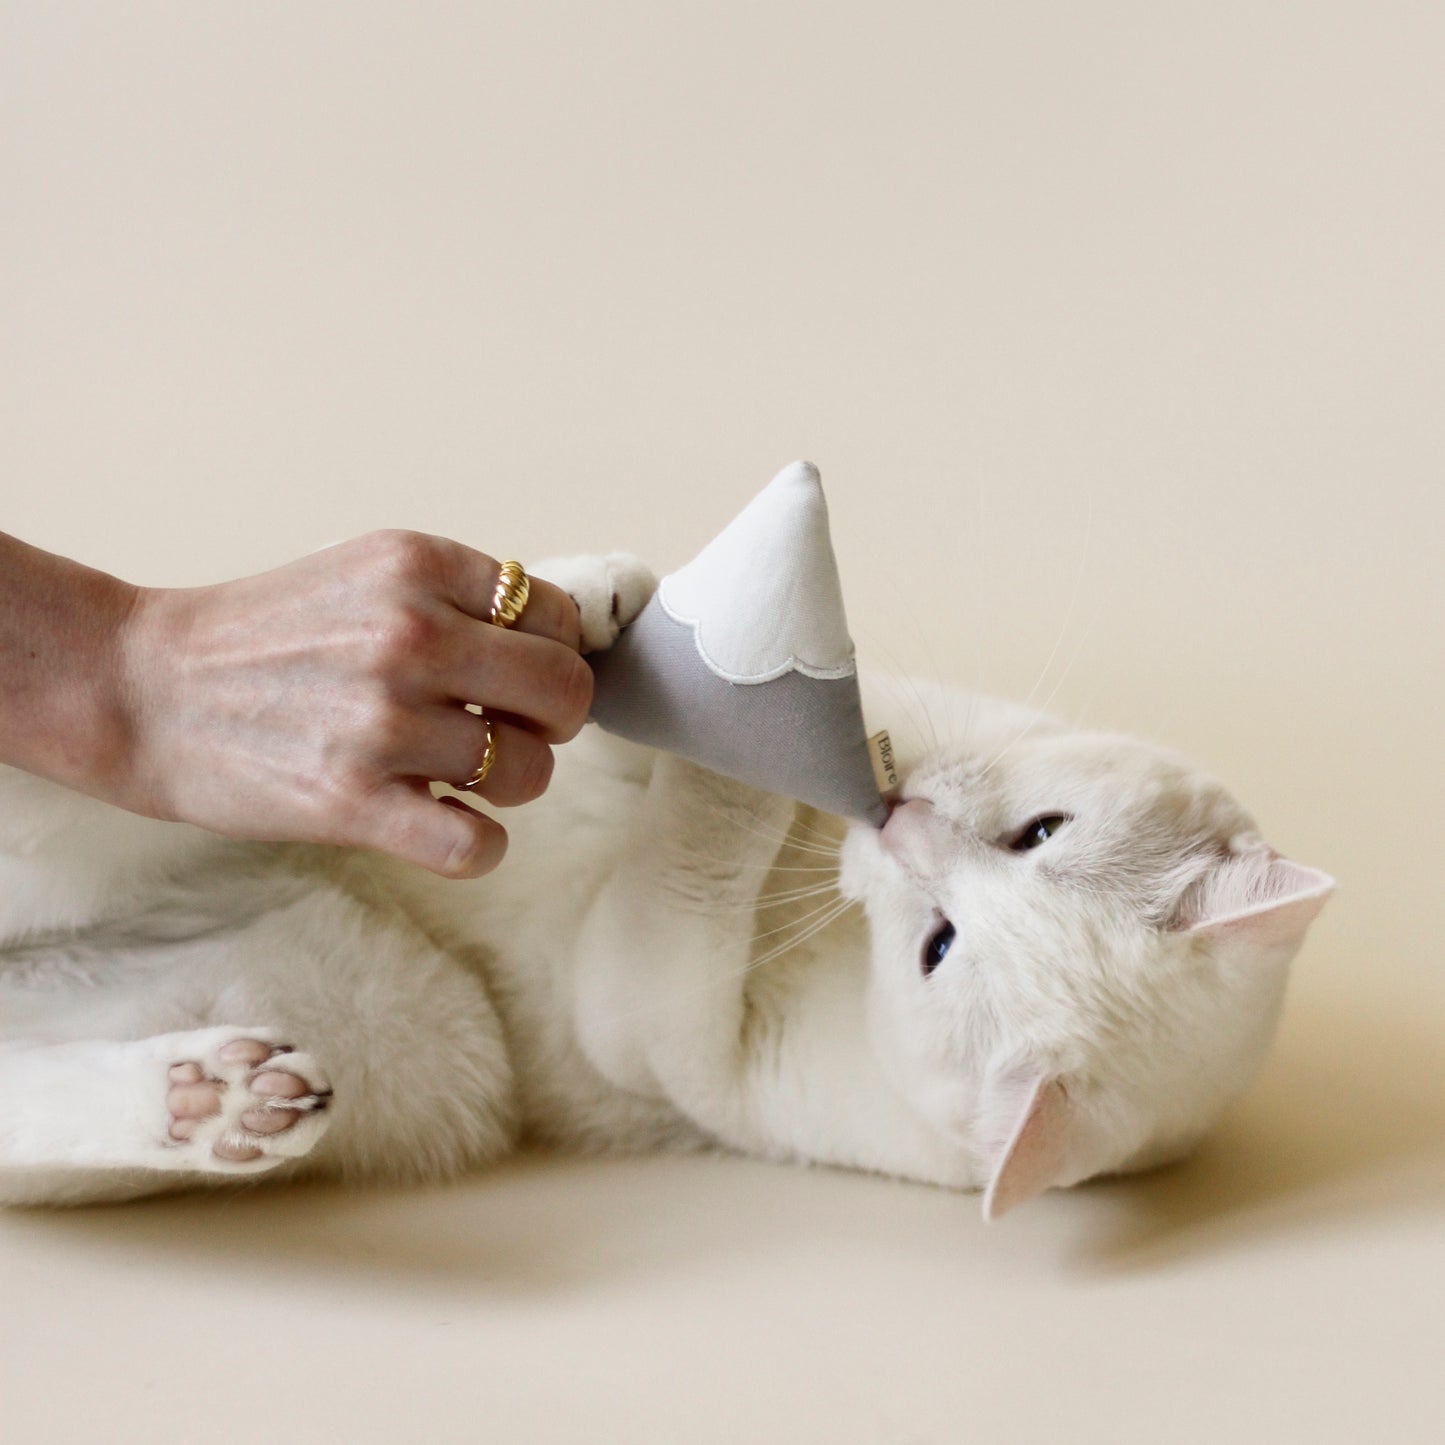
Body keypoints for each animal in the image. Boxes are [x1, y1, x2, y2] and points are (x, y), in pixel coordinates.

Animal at [0, 551, 1329, 1219]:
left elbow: (691, 839)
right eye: (1038, 831)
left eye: (937, 947)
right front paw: (613, 615)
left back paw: (216, 1099)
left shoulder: (642, 1011)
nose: (897, 821)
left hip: (419, 1026)